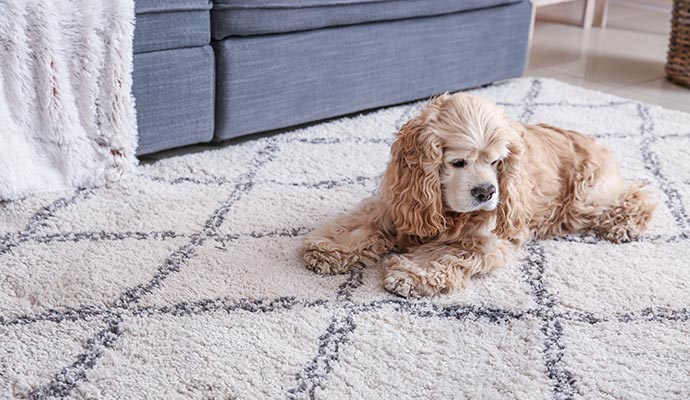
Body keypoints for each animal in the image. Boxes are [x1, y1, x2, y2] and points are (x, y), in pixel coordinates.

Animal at [302, 93, 656, 296]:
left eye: (497, 162)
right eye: (458, 162)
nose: (486, 192)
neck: (446, 208)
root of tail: (595, 141)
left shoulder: (484, 239)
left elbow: (446, 254)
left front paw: (410, 274)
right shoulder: (399, 206)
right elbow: (362, 225)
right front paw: (328, 249)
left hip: (586, 198)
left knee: (638, 194)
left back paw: (624, 225)